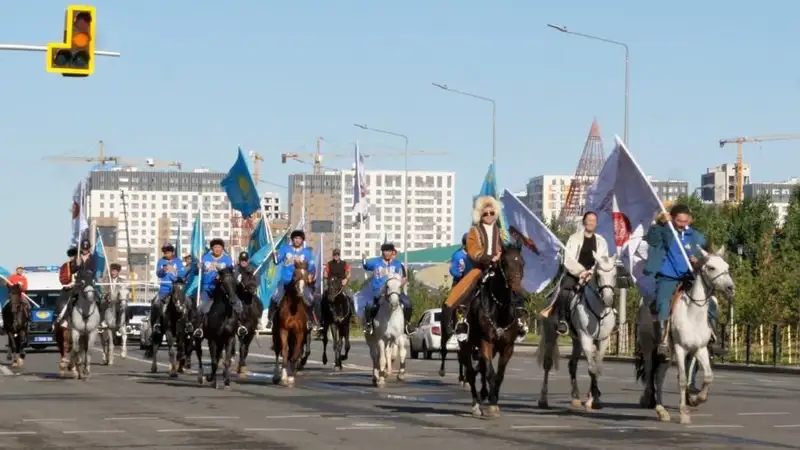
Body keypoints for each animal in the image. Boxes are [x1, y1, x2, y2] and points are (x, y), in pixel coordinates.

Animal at [456, 246, 524, 418]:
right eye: (505, 263)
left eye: (522, 263)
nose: (516, 289)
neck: (500, 309)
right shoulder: (486, 342)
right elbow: (490, 373)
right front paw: (492, 405)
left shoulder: (507, 347)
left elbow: (499, 375)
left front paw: (494, 400)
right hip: (466, 346)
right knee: (472, 373)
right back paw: (476, 404)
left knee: (479, 368)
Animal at [536, 253, 620, 412]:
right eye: (598, 275)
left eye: (615, 274)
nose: (608, 300)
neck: (598, 311)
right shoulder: (586, 338)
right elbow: (591, 369)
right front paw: (594, 400)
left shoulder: (603, 340)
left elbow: (597, 367)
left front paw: (595, 399)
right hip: (551, 334)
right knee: (547, 363)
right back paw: (543, 400)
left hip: (576, 341)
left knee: (572, 365)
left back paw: (575, 397)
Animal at [636, 246, 736, 426]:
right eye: (711, 267)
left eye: (726, 266)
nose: (730, 288)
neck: (693, 314)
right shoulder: (680, 348)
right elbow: (682, 380)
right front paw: (684, 413)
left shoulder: (700, 349)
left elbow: (708, 376)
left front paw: (697, 398)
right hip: (649, 347)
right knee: (649, 371)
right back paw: (649, 400)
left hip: (667, 355)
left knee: (659, 377)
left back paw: (662, 410)